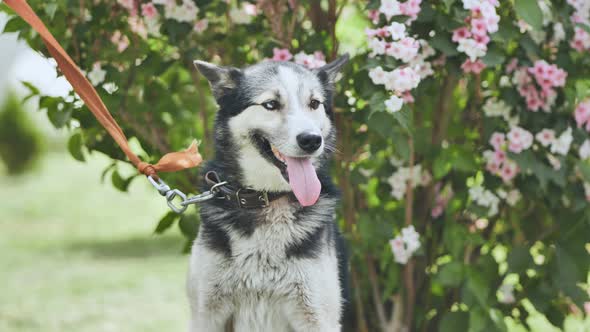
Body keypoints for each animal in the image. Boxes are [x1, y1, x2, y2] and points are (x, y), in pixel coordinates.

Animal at [187, 55, 350, 332]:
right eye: (271, 104)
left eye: (314, 104)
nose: (311, 140)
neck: (267, 199)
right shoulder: (206, 314)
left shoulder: (317, 316)